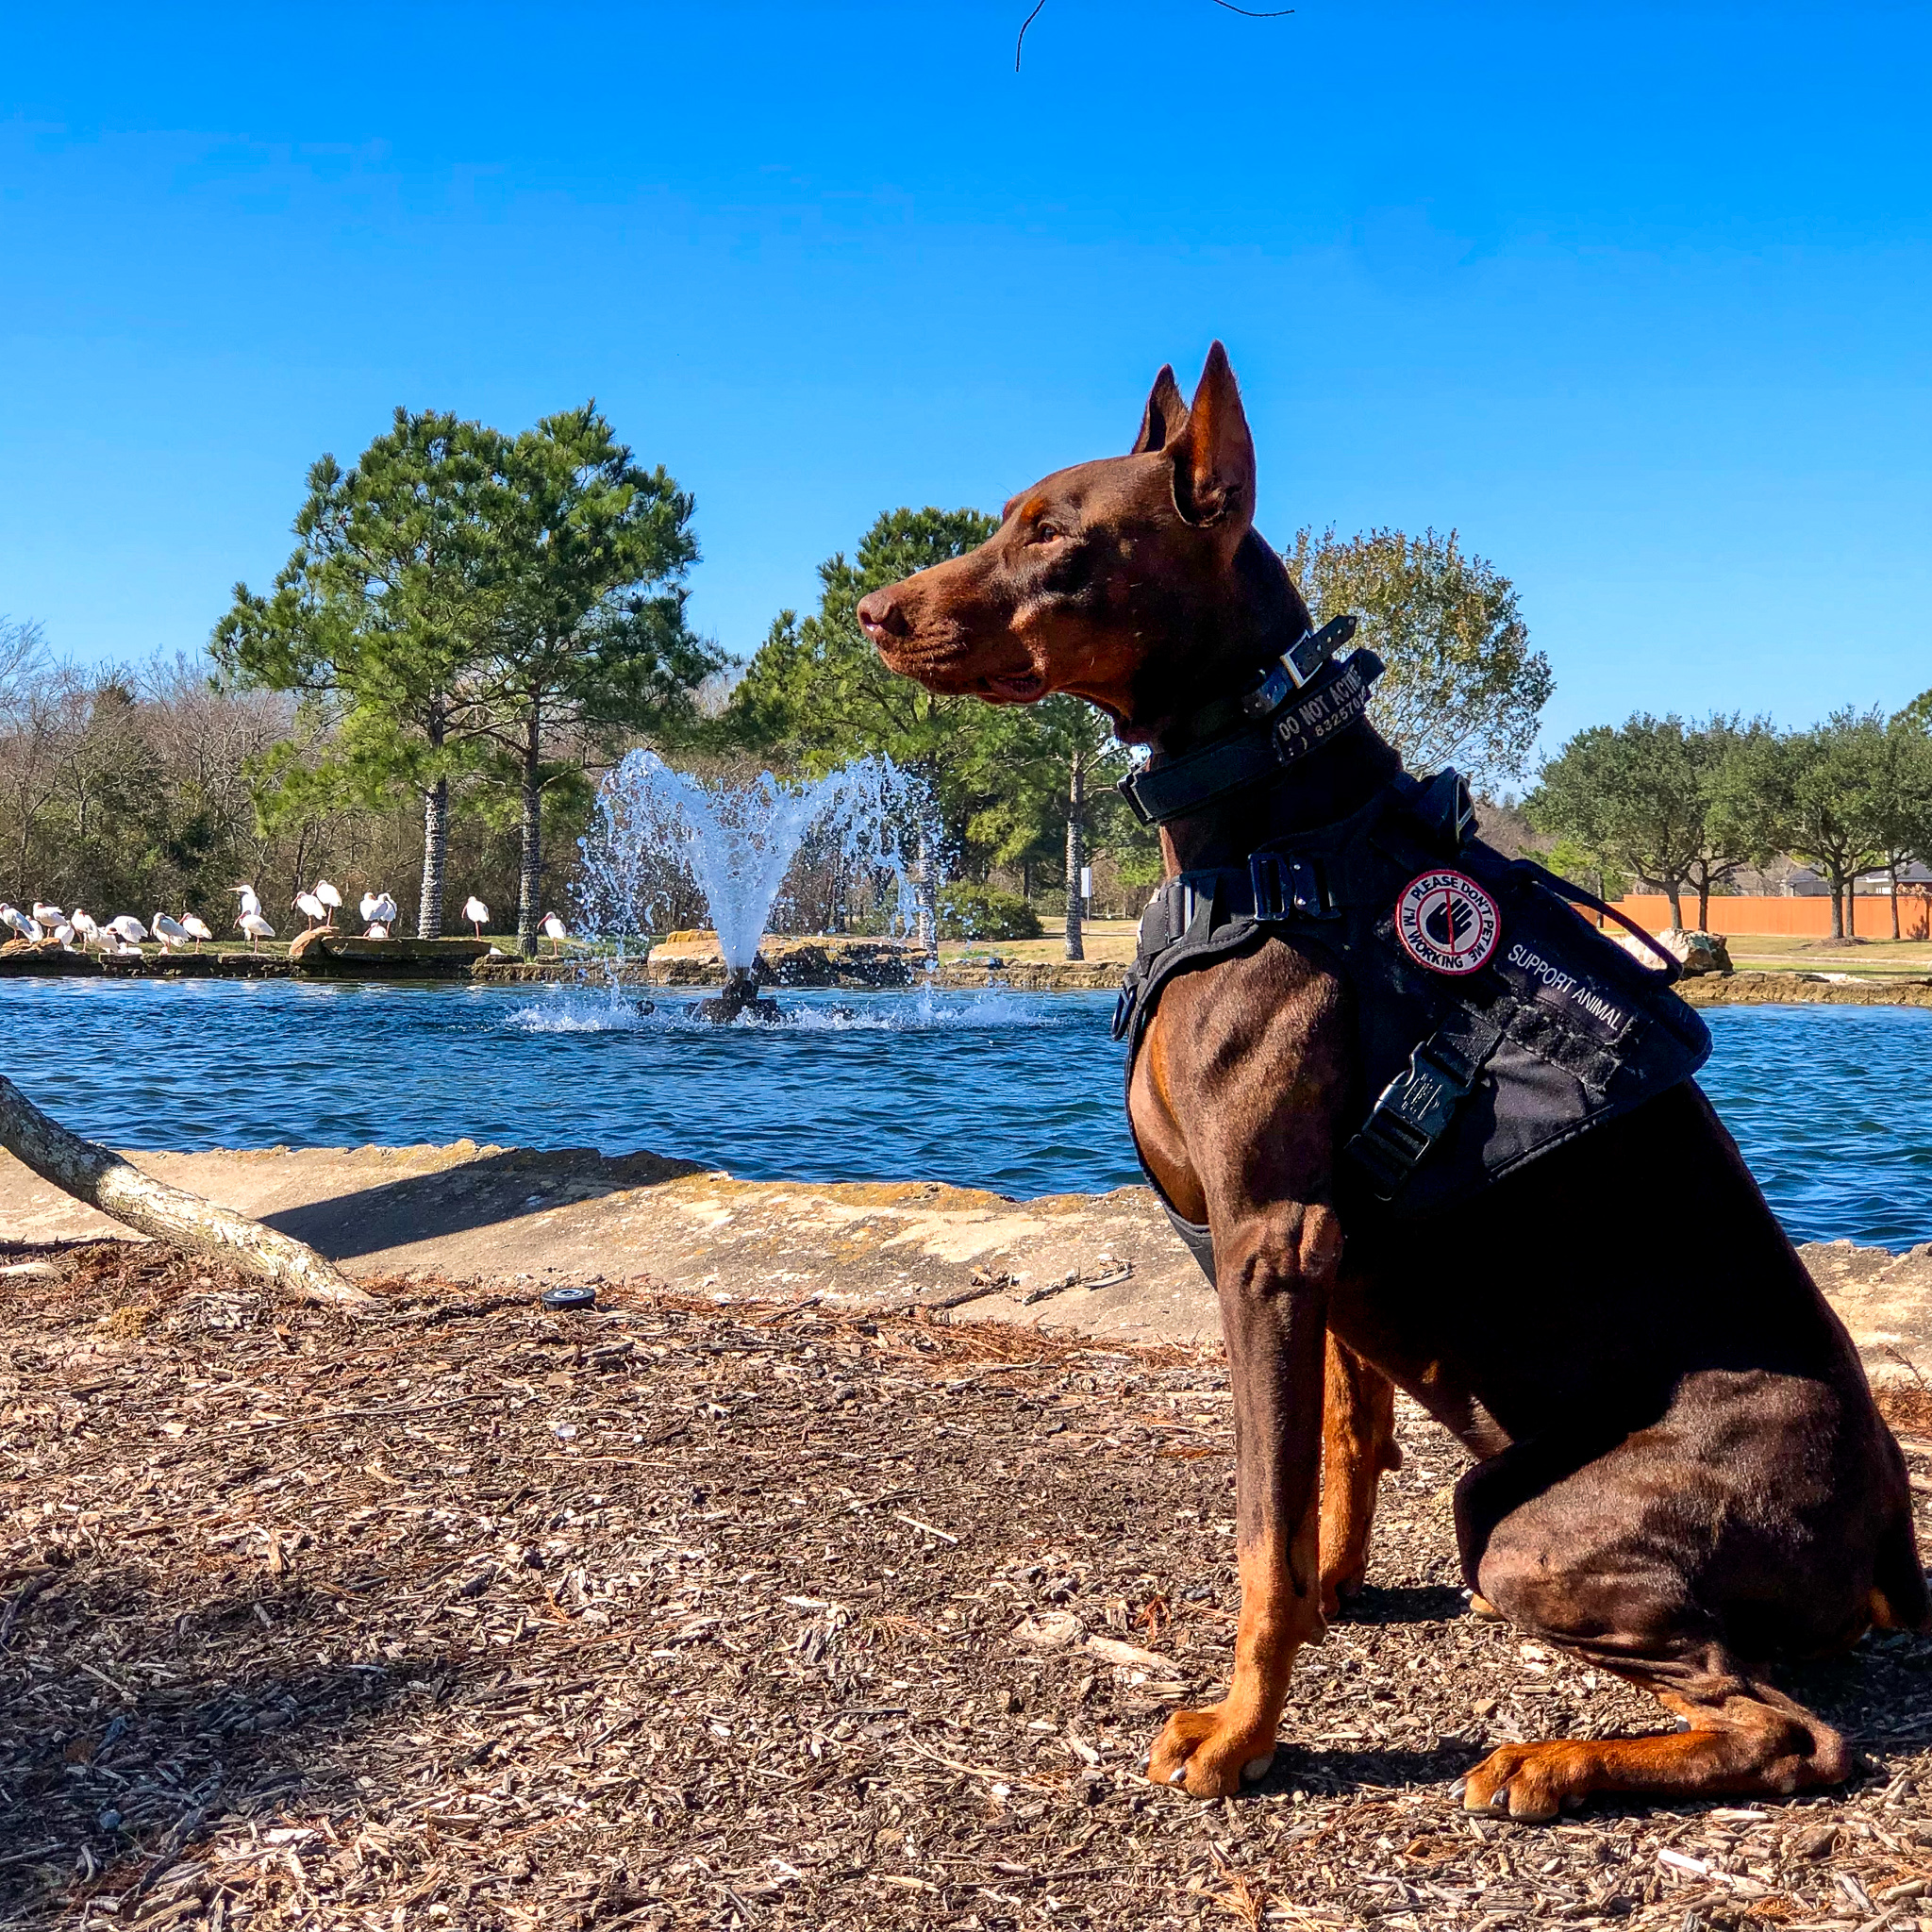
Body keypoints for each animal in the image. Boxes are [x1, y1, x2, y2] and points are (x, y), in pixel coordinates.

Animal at [865, 351, 1932, 1824]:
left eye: (1055, 536)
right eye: (1006, 518)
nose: (871, 611)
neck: (1271, 827)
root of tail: (1891, 1530)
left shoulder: (1266, 1235)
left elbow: (1259, 1522)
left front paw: (1242, 1730)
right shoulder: (1315, 1252)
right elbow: (1334, 1447)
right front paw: (1330, 1598)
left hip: (1524, 1522)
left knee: (1795, 1733)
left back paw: (1551, 1761)